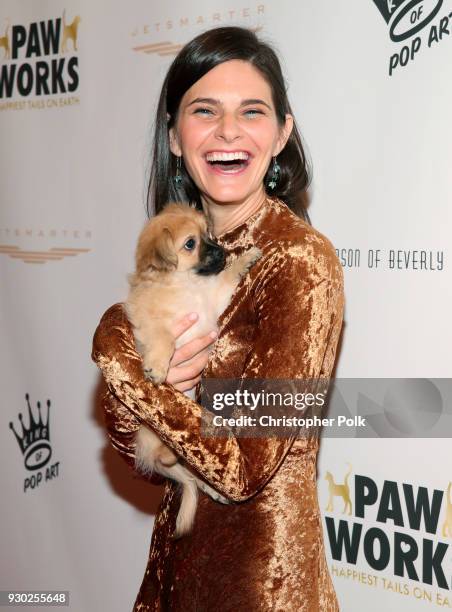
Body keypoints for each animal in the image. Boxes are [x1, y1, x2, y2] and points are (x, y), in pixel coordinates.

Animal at [125, 201, 264, 536]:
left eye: (208, 233)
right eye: (190, 244)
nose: (221, 251)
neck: (187, 287)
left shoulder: (214, 299)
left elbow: (228, 277)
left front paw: (246, 257)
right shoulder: (149, 322)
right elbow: (164, 339)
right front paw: (157, 367)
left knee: (194, 472)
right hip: (153, 433)